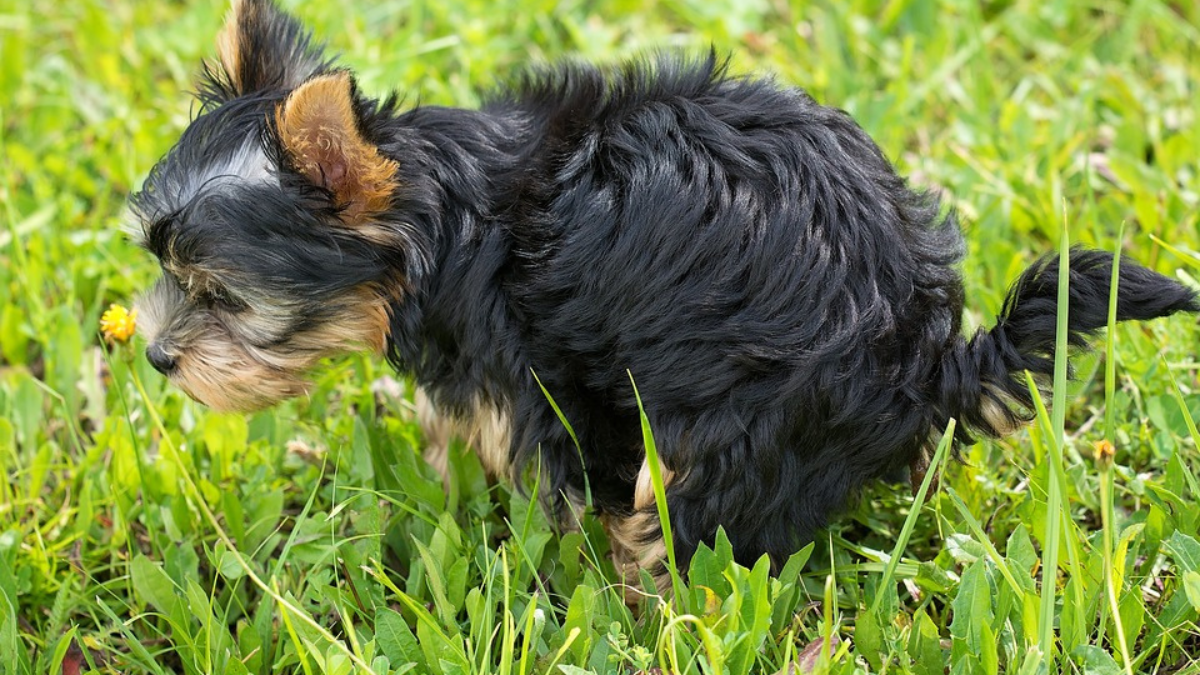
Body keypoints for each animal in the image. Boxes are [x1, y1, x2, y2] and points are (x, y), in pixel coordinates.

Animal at [126, 0, 1195, 590]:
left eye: (222, 296)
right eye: (164, 271)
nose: (156, 355)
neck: (442, 216)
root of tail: (928, 355)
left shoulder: (538, 372)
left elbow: (553, 475)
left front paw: (549, 561)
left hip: (748, 419)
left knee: (693, 516)